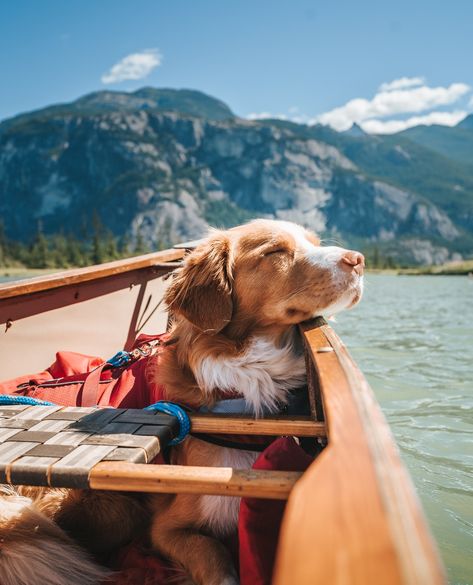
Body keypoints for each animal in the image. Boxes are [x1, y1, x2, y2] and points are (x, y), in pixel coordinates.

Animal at [0, 219, 366, 584]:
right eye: (275, 251)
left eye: (314, 242)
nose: (358, 260)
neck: (246, 382)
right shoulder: (168, 529)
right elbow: (213, 554)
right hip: (116, 510)